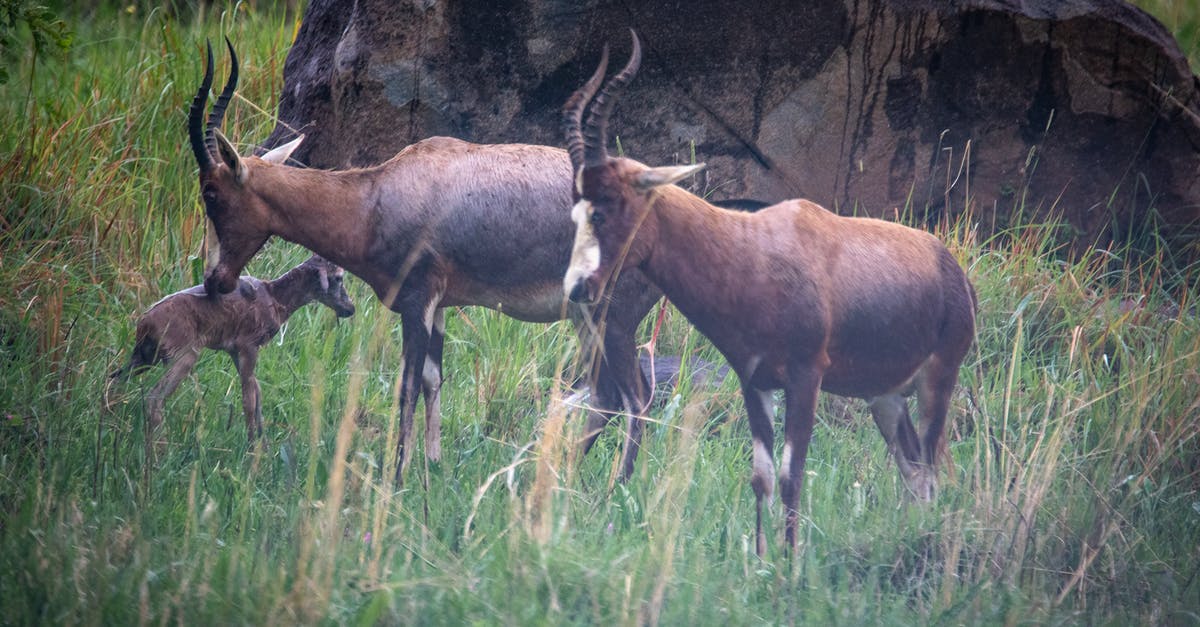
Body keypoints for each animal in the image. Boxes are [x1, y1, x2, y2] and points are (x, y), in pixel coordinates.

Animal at [109, 253, 352, 444]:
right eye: (338, 277)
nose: (351, 308)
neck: (277, 300)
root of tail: (144, 323)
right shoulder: (248, 344)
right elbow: (249, 400)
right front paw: (252, 451)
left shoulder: (235, 350)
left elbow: (257, 393)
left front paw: (263, 447)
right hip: (182, 354)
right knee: (154, 397)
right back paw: (161, 448)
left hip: (144, 355)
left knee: (114, 380)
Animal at [184, 40, 667, 478]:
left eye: (212, 192)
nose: (214, 280)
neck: (378, 195)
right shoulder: (439, 307)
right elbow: (434, 379)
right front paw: (430, 467)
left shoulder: (416, 302)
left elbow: (408, 386)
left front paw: (396, 477)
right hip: (585, 320)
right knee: (605, 397)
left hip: (611, 319)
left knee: (634, 397)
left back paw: (611, 490)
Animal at [561, 32, 974, 552]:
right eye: (575, 209)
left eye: (607, 205)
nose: (578, 287)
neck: (752, 248)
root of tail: (952, 269)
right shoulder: (755, 382)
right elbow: (761, 477)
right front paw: (760, 560)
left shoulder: (806, 377)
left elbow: (791, 476)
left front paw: (790, 563)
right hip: (885, 396)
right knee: (913, 469)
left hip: (938, 378)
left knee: (930, 470)